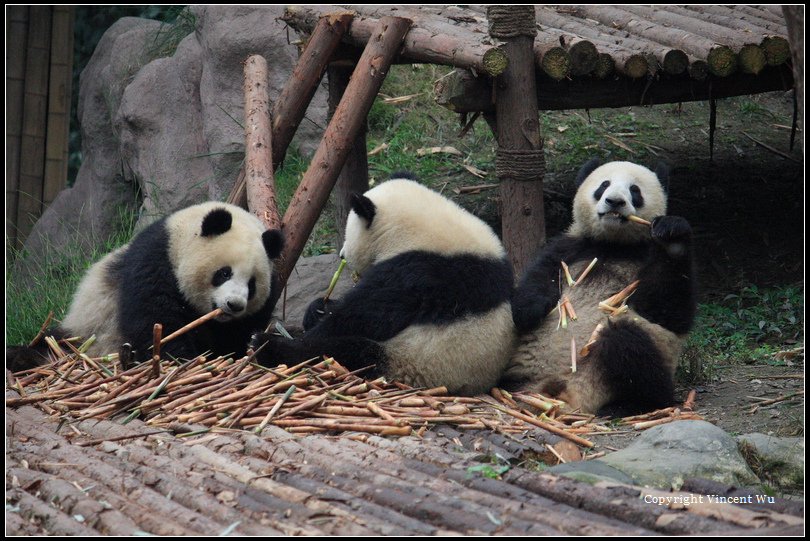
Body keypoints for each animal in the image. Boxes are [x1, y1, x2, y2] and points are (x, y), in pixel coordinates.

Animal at [7, 200, 280, 370]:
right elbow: (155, 319)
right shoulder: (155, 260)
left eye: (252, 285)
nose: (234, 305)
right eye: (224, 273)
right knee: (50, 342)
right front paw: (179, 357)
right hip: (83, 332)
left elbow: (239, 335)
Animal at [252, 175, 516, 394]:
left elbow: (365, 314)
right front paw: (318, 308)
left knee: (341, 353)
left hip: (413, 360)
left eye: (349, 235)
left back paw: (269, 345)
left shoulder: (419, 273)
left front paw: (316, 324)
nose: (341, 254)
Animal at [498, 158, 696, 412]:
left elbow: (667, 312)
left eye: (635, 190)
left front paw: (673, 238)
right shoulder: (570, 247)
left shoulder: (644, 256)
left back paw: (628, 405)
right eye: (604, 185)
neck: (613, 244)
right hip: (523, 370)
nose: (615, 201)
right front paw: (531, 309)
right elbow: (539, 277)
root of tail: (568, 394)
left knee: (625, 343)